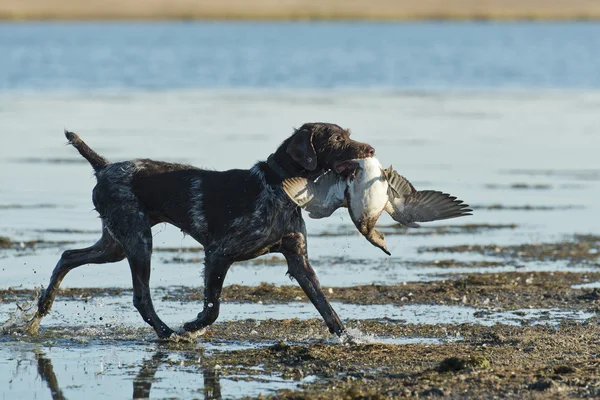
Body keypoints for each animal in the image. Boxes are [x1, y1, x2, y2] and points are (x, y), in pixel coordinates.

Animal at [29, 122, 376, 338]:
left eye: (348, 134)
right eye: (336, 140)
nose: (371, 149)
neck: (279, 185)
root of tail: (104, 166)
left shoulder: (298, 261)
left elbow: (326, 307)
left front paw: (349, 339)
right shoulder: (219, 254)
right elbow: (213, 308)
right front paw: (192, 327)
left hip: (114, 244)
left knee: (67, 256)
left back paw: (42, 308)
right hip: (138, 241)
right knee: (141, 298)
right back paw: (167, 333)